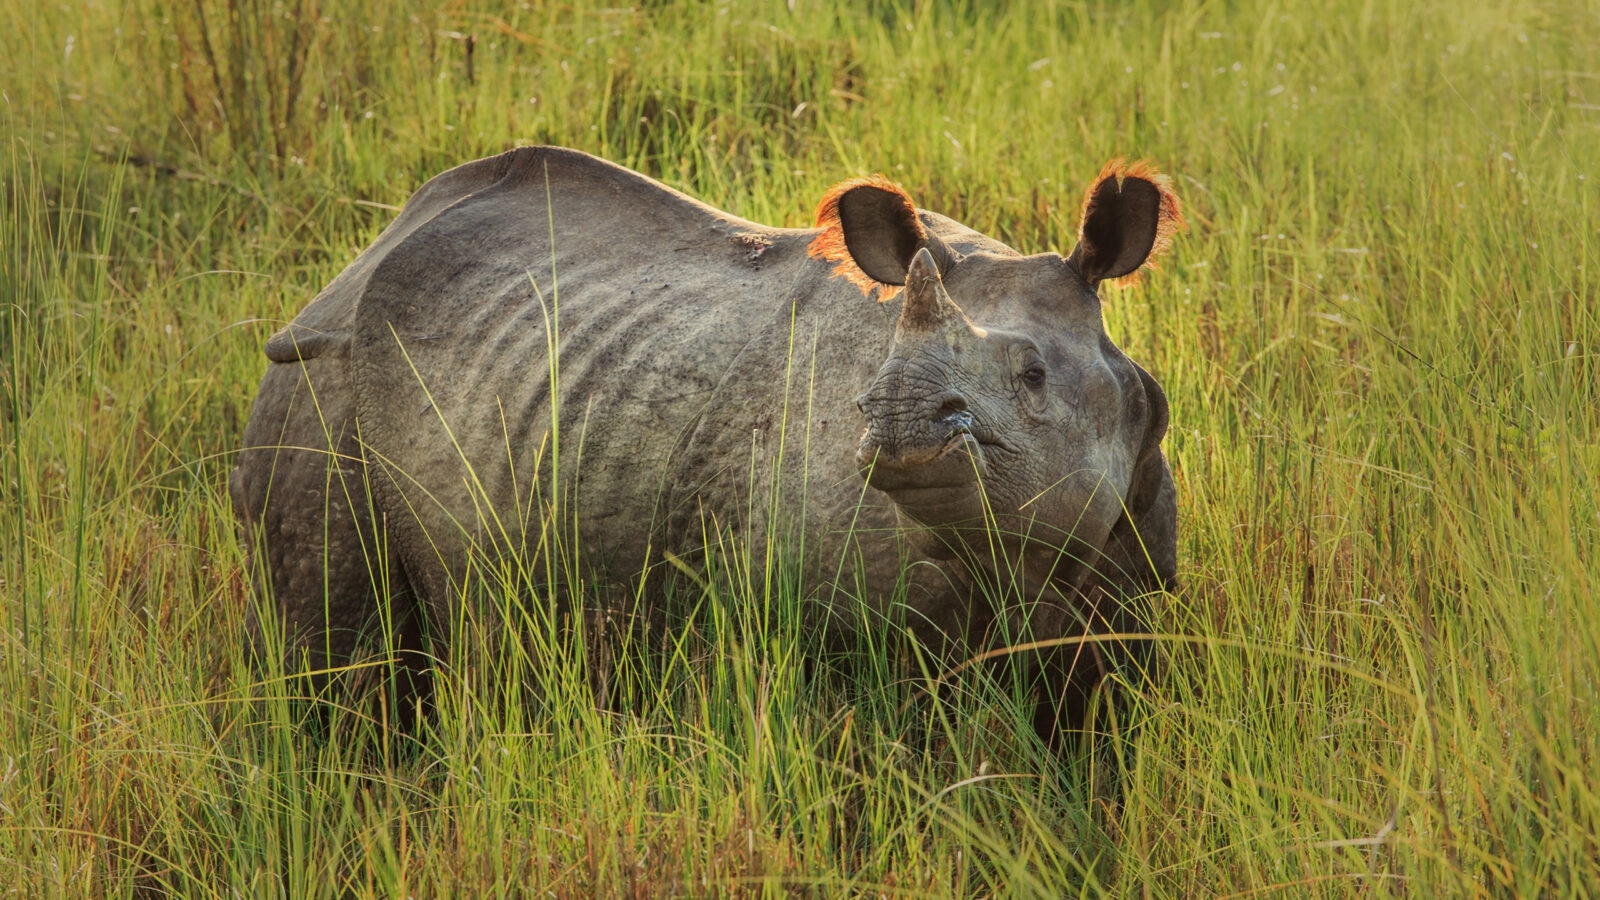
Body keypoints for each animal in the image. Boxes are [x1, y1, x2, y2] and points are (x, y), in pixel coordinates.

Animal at [230, 145, 1181, 737]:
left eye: (1033, 376)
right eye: (871, 377)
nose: (895, 421)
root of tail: (361, 257)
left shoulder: (1128, 593)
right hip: (319, 375)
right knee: (338, 659)